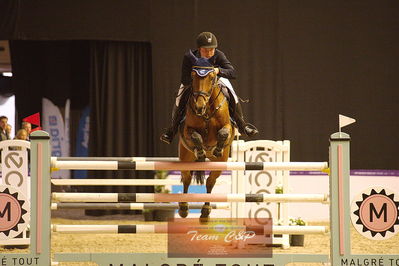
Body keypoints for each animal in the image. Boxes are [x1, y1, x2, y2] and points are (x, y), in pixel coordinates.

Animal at [178, 51, 234, 220]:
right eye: (192, 75)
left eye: (211, 77)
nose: (199, 107)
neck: (207, 109)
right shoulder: (187, 131)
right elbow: (196, 136)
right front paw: (201, 151)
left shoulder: (228, 127)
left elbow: (223, 132)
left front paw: (217, 149)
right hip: (185, 158)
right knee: (187, 178)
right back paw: (184, 208)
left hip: (220, 164)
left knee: (210, 181)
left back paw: (205, 211)